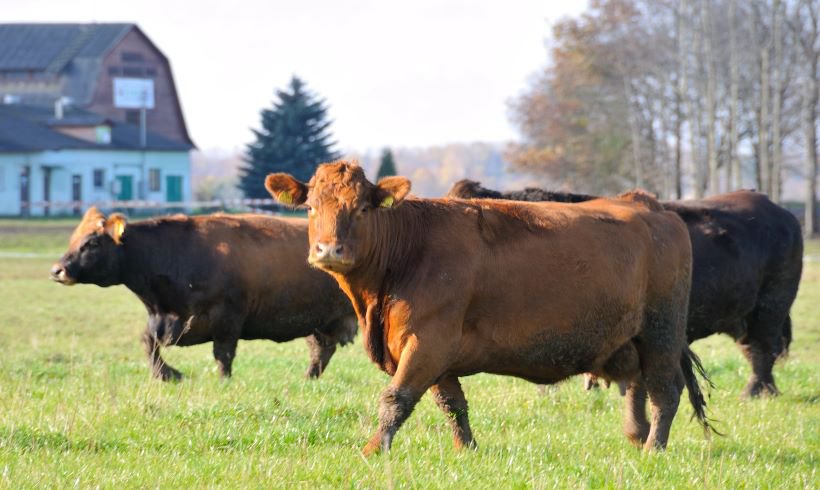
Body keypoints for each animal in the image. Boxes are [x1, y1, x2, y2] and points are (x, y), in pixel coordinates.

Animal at [51, 207, 357, 381]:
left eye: (92, 243)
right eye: (74, 239)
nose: (57, 270)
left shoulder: (226, 317)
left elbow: (223, 355)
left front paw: (223, 381)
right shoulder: (164, 319)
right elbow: (148, 342)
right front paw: (168, 375)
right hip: (320, 322)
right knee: (321, 351)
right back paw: (307, 379)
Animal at [264, 160, 712, 454]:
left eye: (361, 208)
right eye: (310, 207)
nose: (328, 250)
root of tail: (647, 204)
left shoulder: (428, 341)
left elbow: (396, 398)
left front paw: (373, 450)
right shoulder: (435, 352)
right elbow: (452, 404)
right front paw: (467, 448)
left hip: (661, 331)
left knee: (664, 390)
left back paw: (654, 448)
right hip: (632, 337)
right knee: (638, 384)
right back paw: (637, 436)